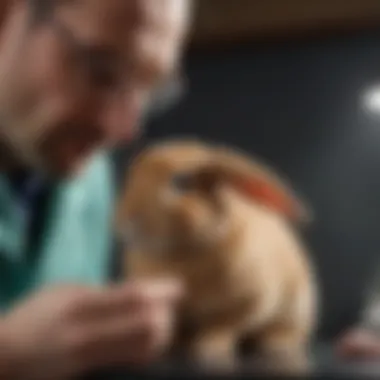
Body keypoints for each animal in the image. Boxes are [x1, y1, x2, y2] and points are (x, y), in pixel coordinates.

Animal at [116, 139, 318, 374]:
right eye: (133, 176)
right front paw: (168, 344)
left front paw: (210, 348)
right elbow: (177, 326)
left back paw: (277, 345)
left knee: (286, 332)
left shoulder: (250, 301)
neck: (182, 253)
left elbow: (225, 325)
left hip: (296, 310)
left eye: (182, 182)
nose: (128, 220)